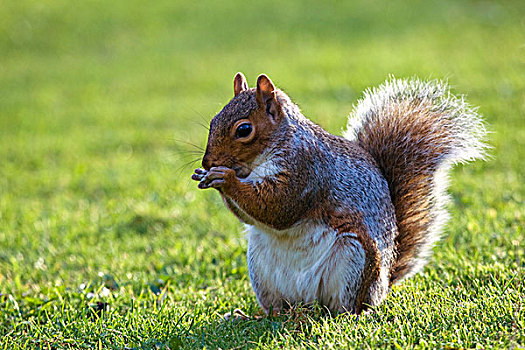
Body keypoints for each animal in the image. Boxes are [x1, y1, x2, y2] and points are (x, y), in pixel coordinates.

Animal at [190, 73, 486, 314]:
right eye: (213, 121)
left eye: (244, 129)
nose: (208, 161)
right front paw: (206, 175)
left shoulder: (306, 170)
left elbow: (278, 206)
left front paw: (224, 178)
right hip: (261, 270)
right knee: (279, 309)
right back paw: (259, 315)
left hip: (353, 259)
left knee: (344, 307)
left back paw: (342, 316)